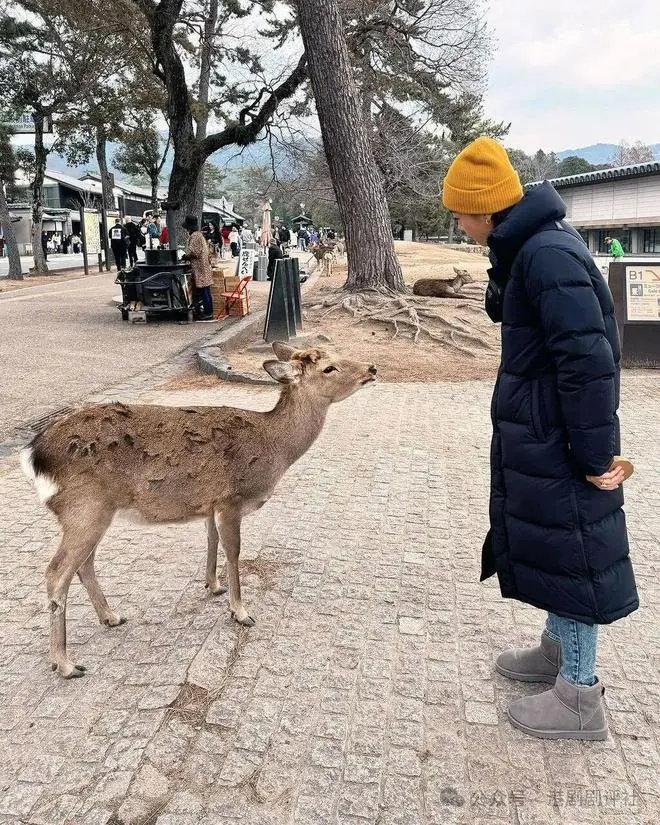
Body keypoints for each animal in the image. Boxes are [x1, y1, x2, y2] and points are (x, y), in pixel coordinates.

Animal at [20, 342, 376, 676]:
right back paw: (66, 664)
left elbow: (211, 540)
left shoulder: (210, 503)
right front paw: (241, 612)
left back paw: (111, 616)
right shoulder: (231, 498)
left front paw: (213, 586)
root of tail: (34, 455)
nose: (372, 368)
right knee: (56, 572)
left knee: (84, 565)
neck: (274, 448)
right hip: (85, 507)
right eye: (329, 367)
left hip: (93, 513)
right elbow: (234, 551)